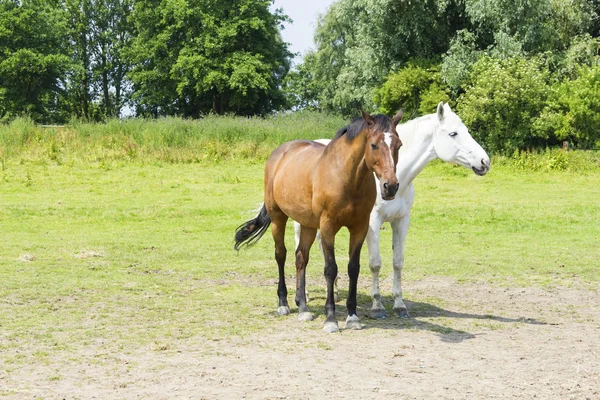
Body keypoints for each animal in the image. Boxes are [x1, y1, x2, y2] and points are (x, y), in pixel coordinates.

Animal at [234, 108, 404, 332]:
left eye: (398, 145)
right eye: (374, 145)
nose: (390, 186)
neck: (346, 178)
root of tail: (279, 153)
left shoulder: (359, 227)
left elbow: (353, 268)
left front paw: (352, 316)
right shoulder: (328, 227)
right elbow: (330, 269)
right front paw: (331, 319)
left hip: (307, 224)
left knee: (301, 257)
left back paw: (303, 308)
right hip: (278, 217)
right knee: (281, 255)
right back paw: (283, 304)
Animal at [294, 102, 488, 318]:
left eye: (466, 130)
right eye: (453, 133)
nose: (484, 161)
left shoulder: (401, 220)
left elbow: (398, 262)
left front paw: (399, 304)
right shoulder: (372, 222)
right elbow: (375, 263)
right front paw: (377, 306)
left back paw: (334, 292)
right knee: (300, 252)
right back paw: (304, 296)